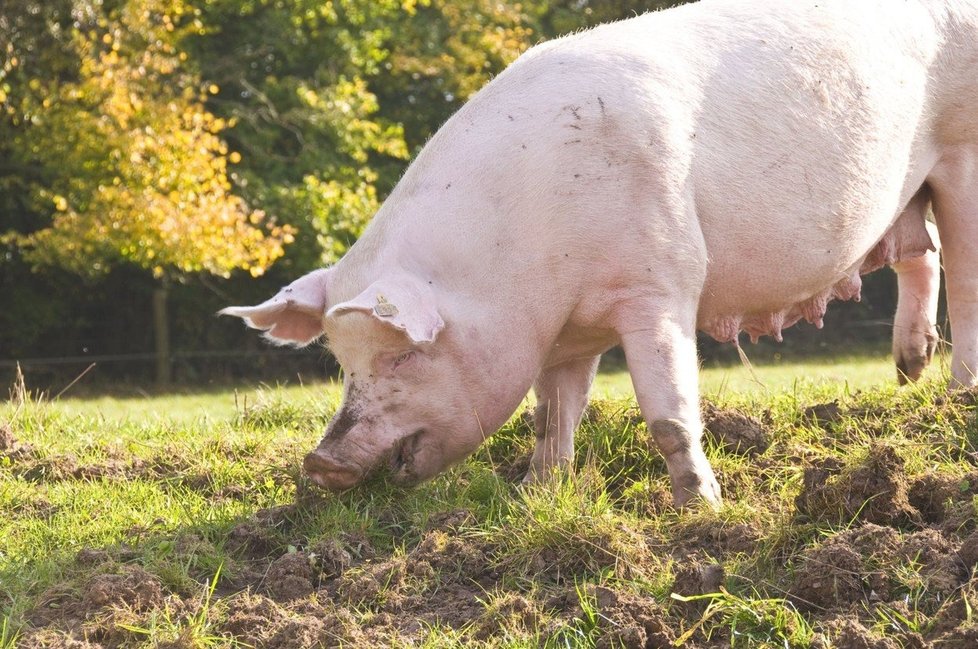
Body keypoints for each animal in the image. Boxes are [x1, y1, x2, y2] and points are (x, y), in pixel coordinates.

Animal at [223, 0, 976, 506]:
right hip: (909, 189)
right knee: (921, 251)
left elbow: (669, 411)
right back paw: (907, 370)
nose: (319, 463)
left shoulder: (659, 285)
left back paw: (956, 392)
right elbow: (551, 418)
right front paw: (538, 494)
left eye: (404, 355)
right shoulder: (565, 336)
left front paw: (702, 509)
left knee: (962, 270)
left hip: (962, 151)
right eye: (342, 363)